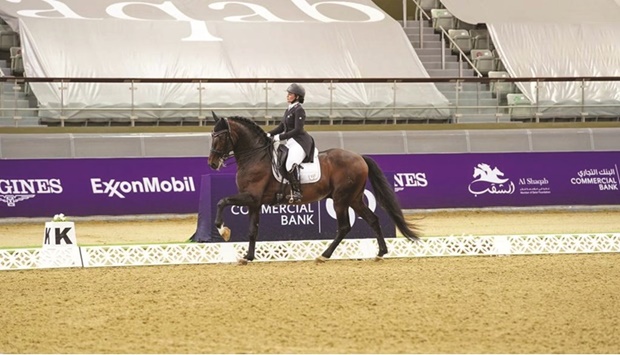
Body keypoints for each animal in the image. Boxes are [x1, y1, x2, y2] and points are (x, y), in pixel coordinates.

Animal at [206, 112, 418, 264]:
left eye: (220, 137)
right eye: (212, 136)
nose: (212, 163)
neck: (255, 156)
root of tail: (359, 157)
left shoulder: (251, 197)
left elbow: (221, 201)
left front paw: (223, 230)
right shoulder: (255, 202)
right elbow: (252, 230)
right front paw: (248, 257)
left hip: (341, 199)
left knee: (344, 226)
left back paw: (324, 255)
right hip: (354, 198)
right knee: (372, 219)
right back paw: (380, 253)